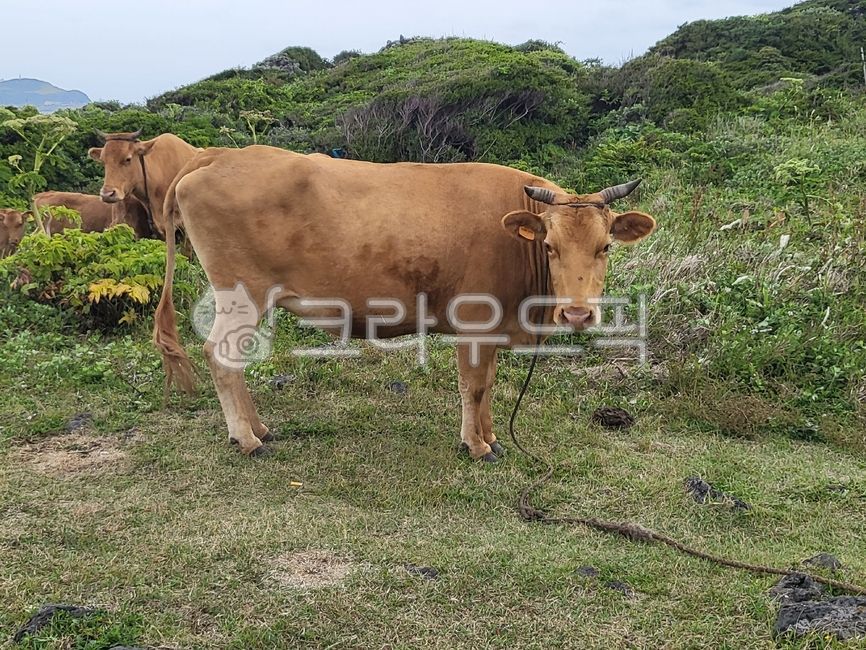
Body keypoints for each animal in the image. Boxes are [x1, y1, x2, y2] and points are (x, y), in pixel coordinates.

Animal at [153, 146, 656, 459]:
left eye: (605, 246)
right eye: (550, 246)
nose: (577, 312)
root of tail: (219, 154)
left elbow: (490, 383)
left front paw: (492, 436)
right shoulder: (476, 321)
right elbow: (473, 386)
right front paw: (475, 446)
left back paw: (258, 429)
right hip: (240, 295)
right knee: (221, 357)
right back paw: (247, 439)